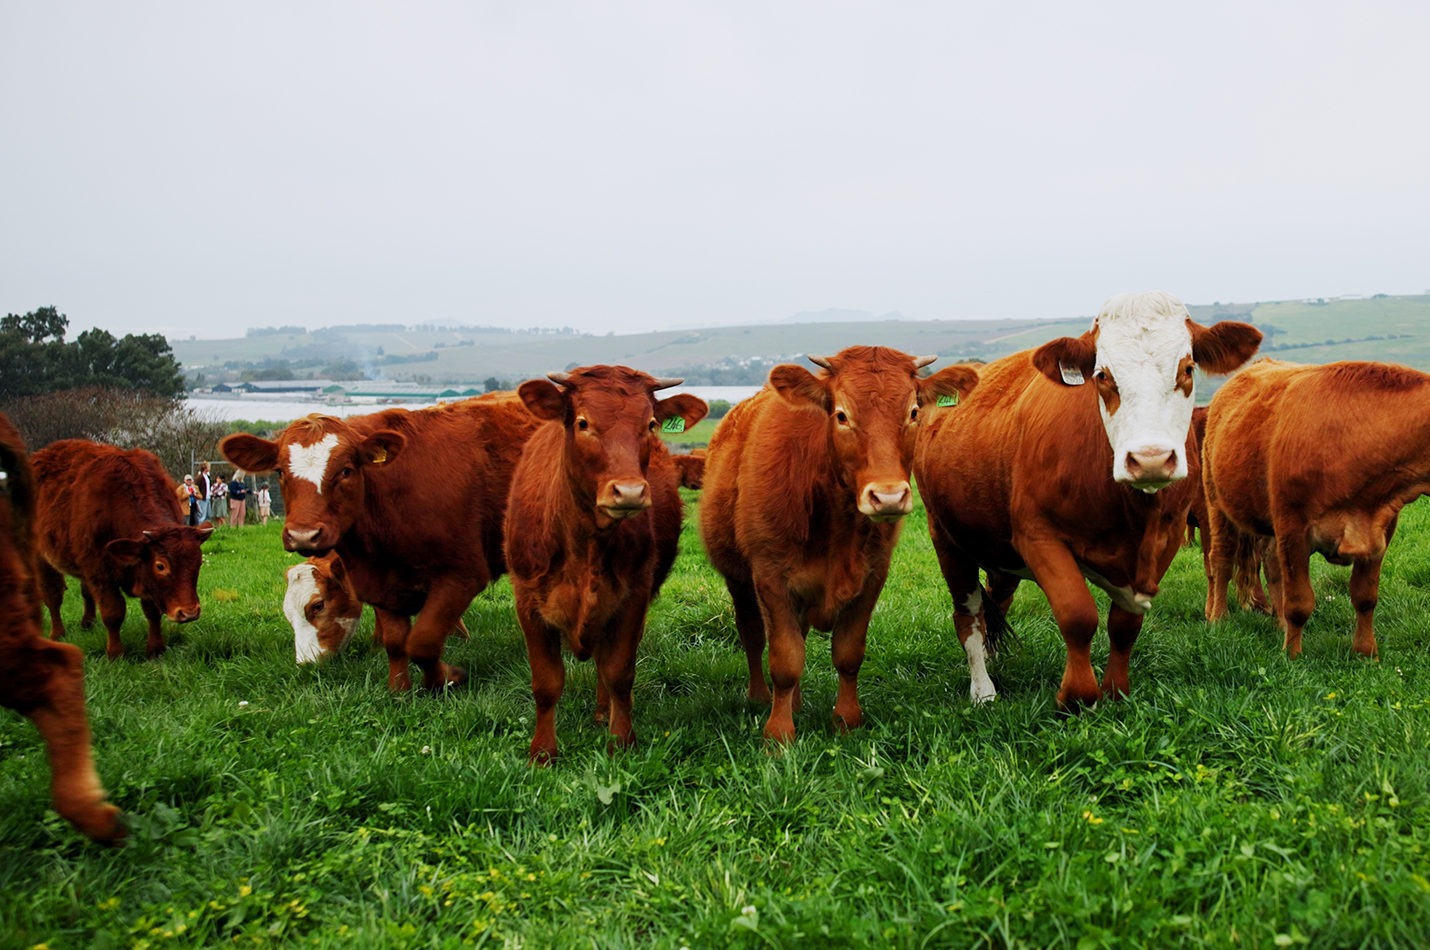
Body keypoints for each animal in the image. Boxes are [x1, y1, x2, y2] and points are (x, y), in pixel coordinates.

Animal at [32, 441, 212, 659]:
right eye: (160, 566)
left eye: (198, 562)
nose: (189, 612)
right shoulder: (100, 573)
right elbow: (113, 613)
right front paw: (115, 653)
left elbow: (152, 611)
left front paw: (156, 648)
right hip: (42, 558)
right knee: (53, 596)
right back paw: (57, 634)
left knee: (86, 593)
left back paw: (88, 624)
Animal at [506, 365, 706, 763]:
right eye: (583, 423)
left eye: (650, 425)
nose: (629, 491)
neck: (586, 545)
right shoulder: (527, 601)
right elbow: (546, 682)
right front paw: (542, 753)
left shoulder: (633, 598)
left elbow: (618, 673)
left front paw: (621, 742)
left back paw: (602, 713)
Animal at [702, 346, 979, 743]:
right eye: (842, 415)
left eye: (913, 412)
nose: (888, 496)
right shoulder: (770, 577)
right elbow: (785, 659)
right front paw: (779, 734)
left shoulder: (873, 574)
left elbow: (848, 653)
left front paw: (846, 721)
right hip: (738, 578)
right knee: (752, 634)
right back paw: (759, 697)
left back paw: (796, 703)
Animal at [914, 292, 1261, 708]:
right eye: (1102, 375)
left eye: (1188, 368)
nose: (1150, 459)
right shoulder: (1039, 538)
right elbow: (1078, 616)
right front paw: (1075, 697)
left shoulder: (1168, 538)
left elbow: (1125, 624)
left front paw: (1115, 691)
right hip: (946, 538)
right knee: (968, 615)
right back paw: (983, 690)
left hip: (998, 547)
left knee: (998, 599)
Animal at [1203, 360, 1430, 658]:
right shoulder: (1294, 529)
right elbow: (1299, 602)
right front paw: (1292, 655)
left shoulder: (1379, 532)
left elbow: (1365, 597)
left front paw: (1366, 652)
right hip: (1217, 501)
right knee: (1222, 559)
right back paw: (1218, 618)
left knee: (1272, 565)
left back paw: (1279, 623)